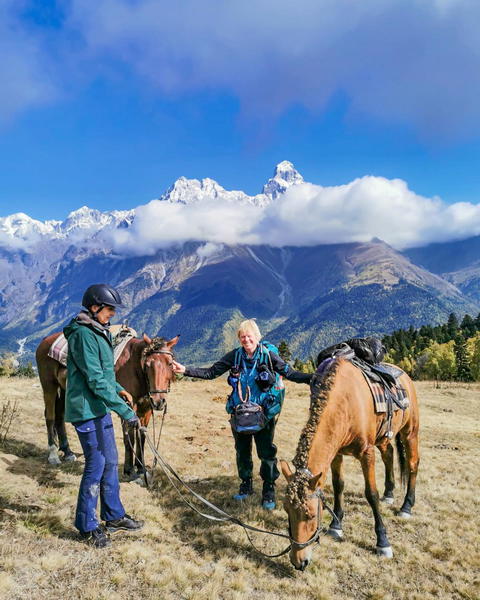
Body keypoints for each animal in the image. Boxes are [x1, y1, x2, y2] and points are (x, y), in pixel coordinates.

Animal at [35, 330, 178, 476]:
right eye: (148, 364)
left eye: (170, 363)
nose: (159, 401)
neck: (134, 368)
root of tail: (45, 340)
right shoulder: (128, 406)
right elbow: (130, 438)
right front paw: (129, 469)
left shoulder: (147, 408)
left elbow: (141, 437)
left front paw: (140, 469)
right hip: (49, 386)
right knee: (50, 417)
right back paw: (53, 455)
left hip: (65, 390)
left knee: (59, 415)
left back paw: (68, 452)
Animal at [282, 358, 420, 568]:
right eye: (286, 510)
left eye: (311, 515)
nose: (299, 561)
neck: (346, 402)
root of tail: (403, 374)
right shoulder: (336, 452)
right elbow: (338, 485)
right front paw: (336, 526)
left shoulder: (366, 453)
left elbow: (371, 494)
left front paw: (383, 542)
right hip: (383, 438)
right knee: (388, 454)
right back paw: (389, 493)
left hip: (410, 431)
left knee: (412, 464)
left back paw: (406, 507)